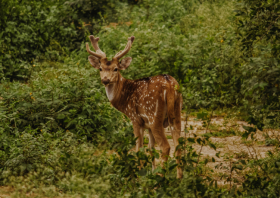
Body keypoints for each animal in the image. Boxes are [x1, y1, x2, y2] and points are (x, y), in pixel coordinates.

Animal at [86, 34, 185, 179]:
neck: (124, 99)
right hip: (176, 113)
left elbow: (139, 148)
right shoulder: (147, 125)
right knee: (178, 145)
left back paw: (162, 178)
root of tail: (170, 84)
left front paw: (140, 174)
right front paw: (150, 173)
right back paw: (179, 178)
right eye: (100, 68)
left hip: (155, 116)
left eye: (116, 68)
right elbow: (151, 149)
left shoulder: (136, 119)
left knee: (166, 147)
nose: (105, 79)